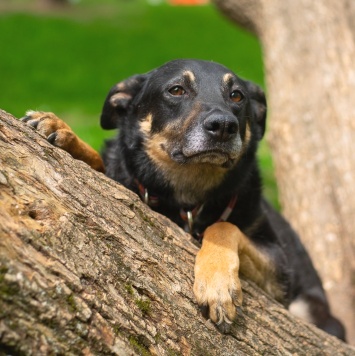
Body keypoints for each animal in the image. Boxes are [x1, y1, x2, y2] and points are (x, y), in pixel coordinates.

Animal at [20, 58, 346, 340]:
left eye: (237, 96)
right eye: (176, 90)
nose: (224, 126)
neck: (188, 198)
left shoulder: (280, 271)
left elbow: (223, 227)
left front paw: (217, 284)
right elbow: (102, 164)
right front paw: (65, 133)